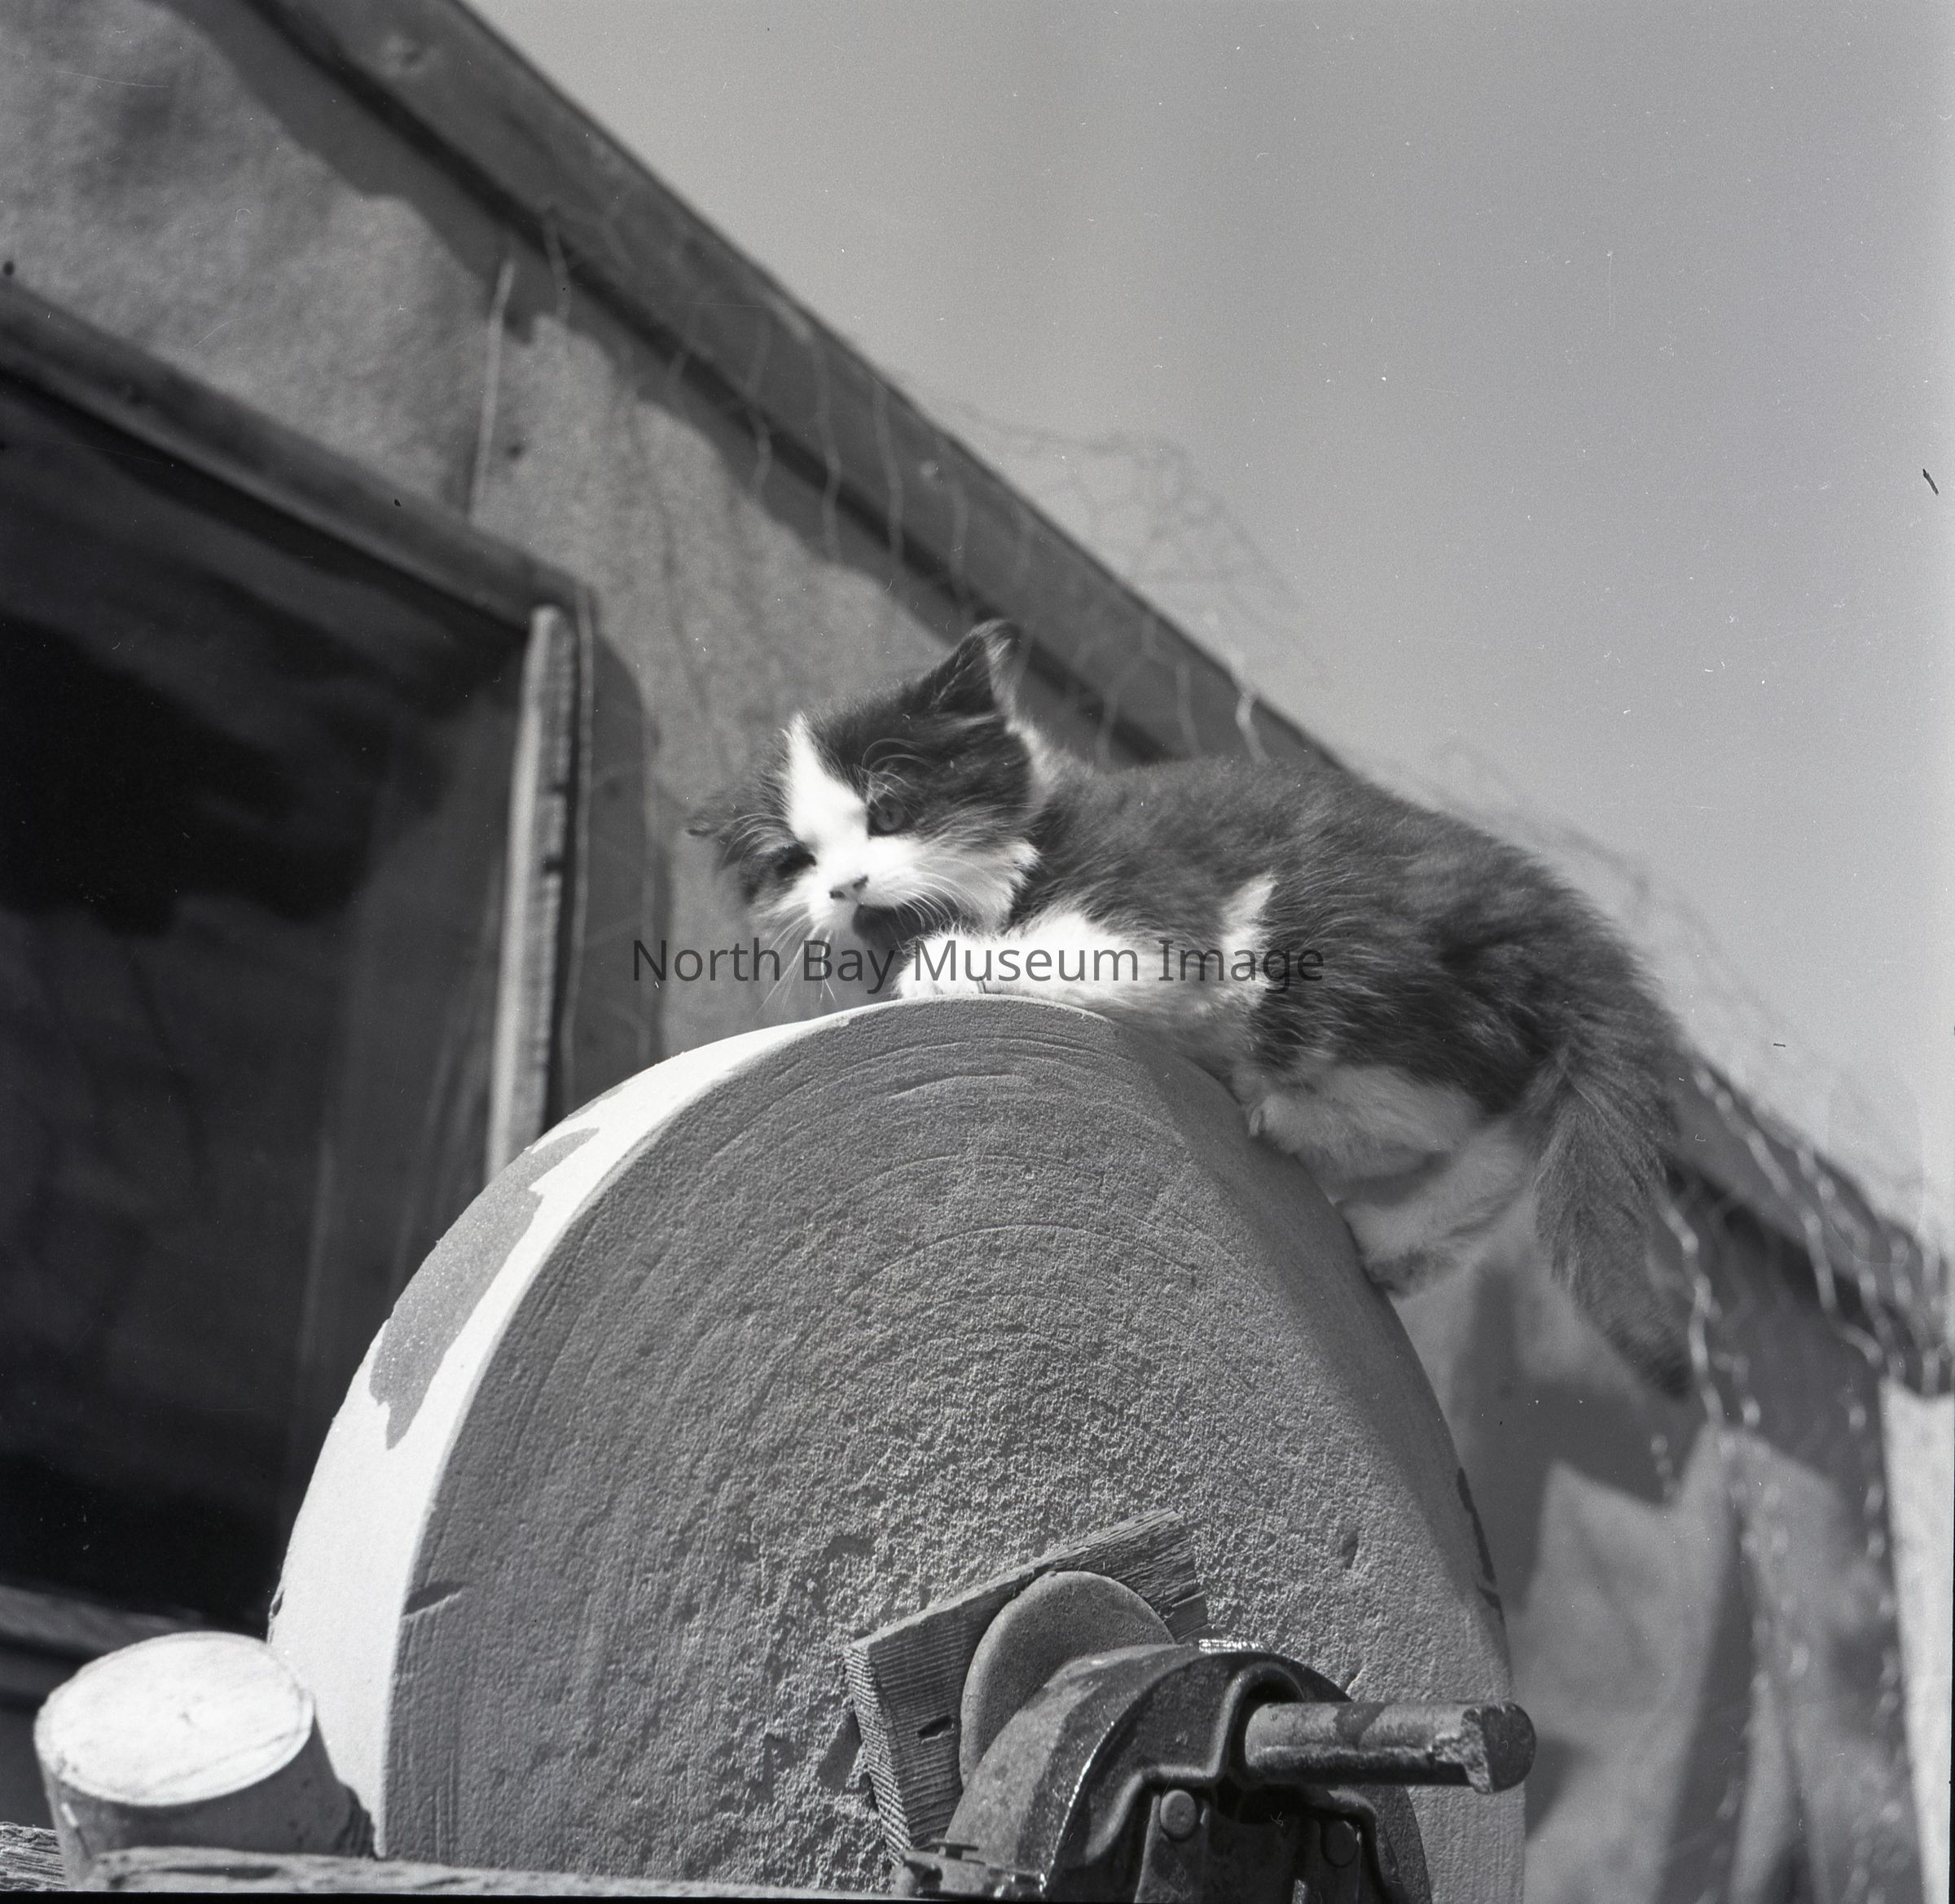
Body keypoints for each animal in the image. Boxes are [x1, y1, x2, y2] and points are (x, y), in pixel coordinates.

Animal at [689, 624, 1690, 1391]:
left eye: (890, 811)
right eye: (797, 863)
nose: (849, 885)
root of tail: (1543, 914)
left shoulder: (1165, 919)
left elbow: (1075, 956)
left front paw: (946, 965)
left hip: (1329, 955)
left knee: (1444, 1102)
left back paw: (1294, 1118)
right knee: (1503, 1125)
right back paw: (1396, 1240)